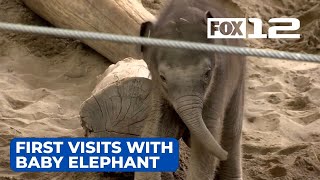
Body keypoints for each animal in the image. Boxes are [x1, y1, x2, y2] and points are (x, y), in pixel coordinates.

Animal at [135, 0, 245, 179]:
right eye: (163, 77)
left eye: (207, 73)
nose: (222, 154)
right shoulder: (158, 89)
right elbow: (154, 126)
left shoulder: (220, 80)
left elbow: (209, 133)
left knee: (231, 134)